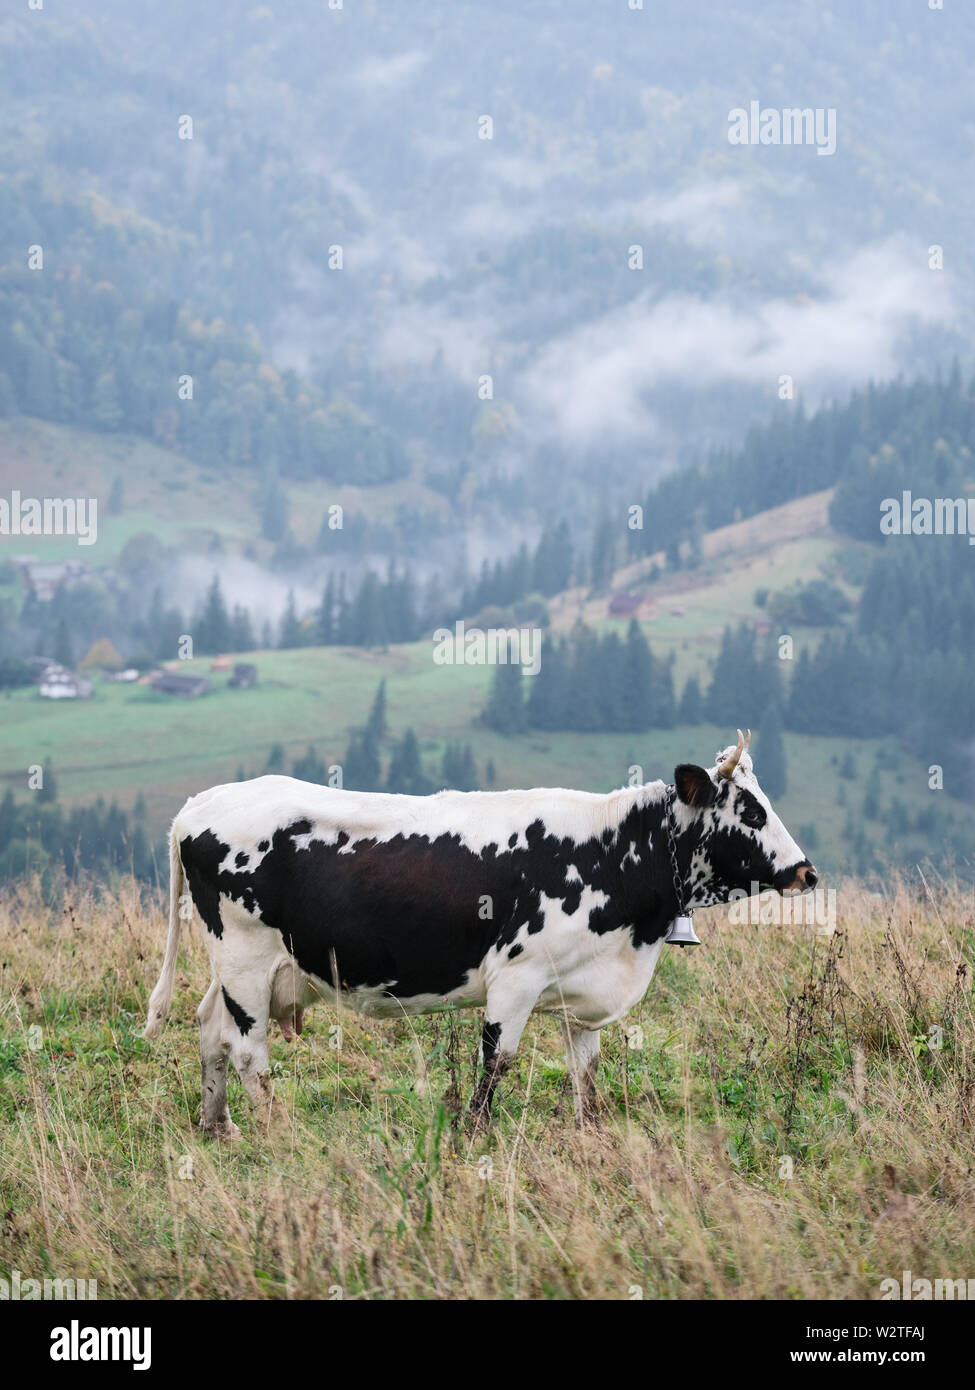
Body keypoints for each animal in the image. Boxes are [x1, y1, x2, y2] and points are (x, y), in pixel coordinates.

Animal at [144, 730, 817, 1136]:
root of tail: (200, 804)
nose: (807, 872)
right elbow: (496, 1061)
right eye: (751, 809)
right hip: (245, 958)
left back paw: (218, 1126)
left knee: (209, 1028)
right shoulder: (516, 977)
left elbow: (586, 1071)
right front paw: (473, 1133)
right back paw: (275, 1127)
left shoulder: (584, 992)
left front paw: (590, 1133)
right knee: (247, 1048)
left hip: (242, 967)